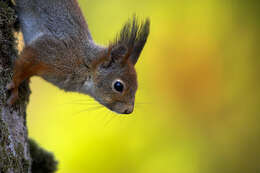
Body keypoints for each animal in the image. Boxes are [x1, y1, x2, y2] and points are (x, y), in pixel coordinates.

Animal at [7, 0, 150, 114]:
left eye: (137, 86)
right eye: (118, 86)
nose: (129, 110)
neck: (85, 63)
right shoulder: (50, 51)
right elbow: (26, 60)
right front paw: (15, 87)